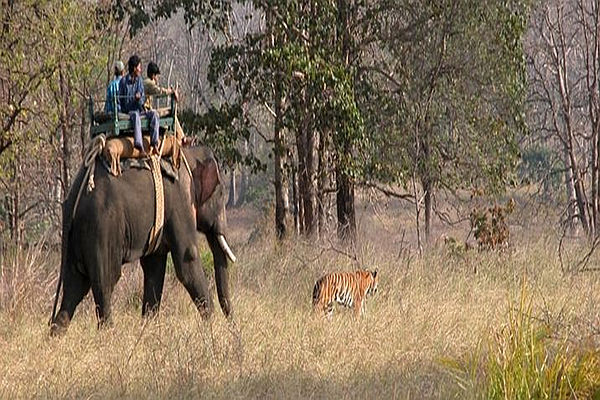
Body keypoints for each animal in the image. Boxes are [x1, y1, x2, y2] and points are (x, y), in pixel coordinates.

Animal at [49, 145, 237, 334]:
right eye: (221, 194)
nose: (232, 326)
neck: (189, 154)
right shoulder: (180, 201)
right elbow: (188, 259)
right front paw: (212, 325)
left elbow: (154, 267)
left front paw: (149, 329)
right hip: (101, 231)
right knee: (105, 282)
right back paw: (109, 333)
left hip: (75, 240)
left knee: (74, 288)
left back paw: (56, 334)